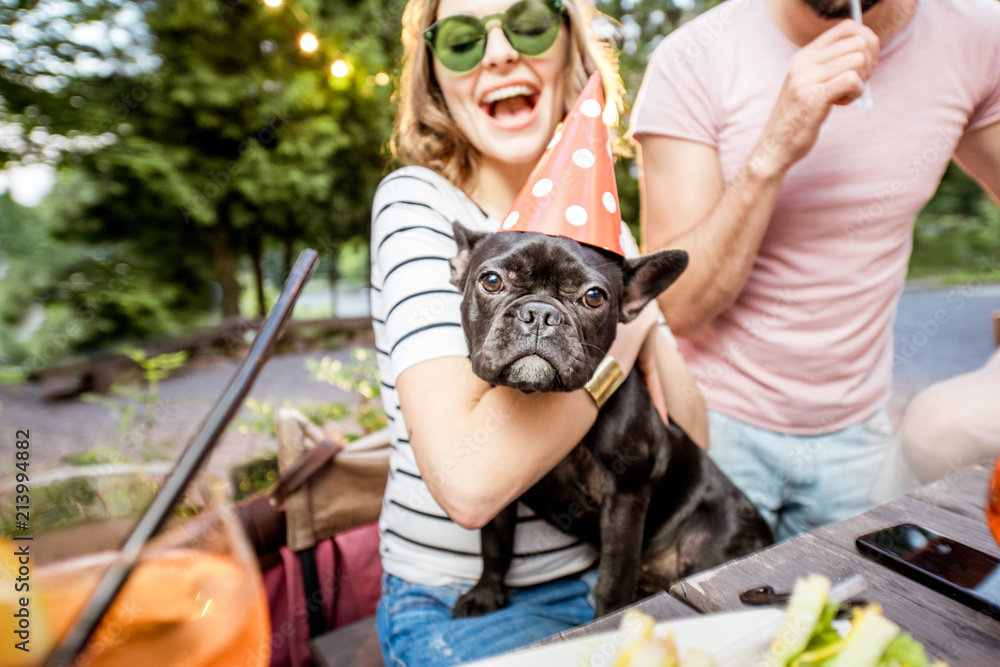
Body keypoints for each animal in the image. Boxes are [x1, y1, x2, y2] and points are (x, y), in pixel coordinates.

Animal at [448, 226, 772, 620]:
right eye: (491, 281)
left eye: (593, 297)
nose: (540, 313)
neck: (538, 396)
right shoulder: (499, 497)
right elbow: (495, 543)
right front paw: (486, 593)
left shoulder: (625, 495)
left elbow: (614, 577)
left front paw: (609, 619)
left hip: (709, 537)